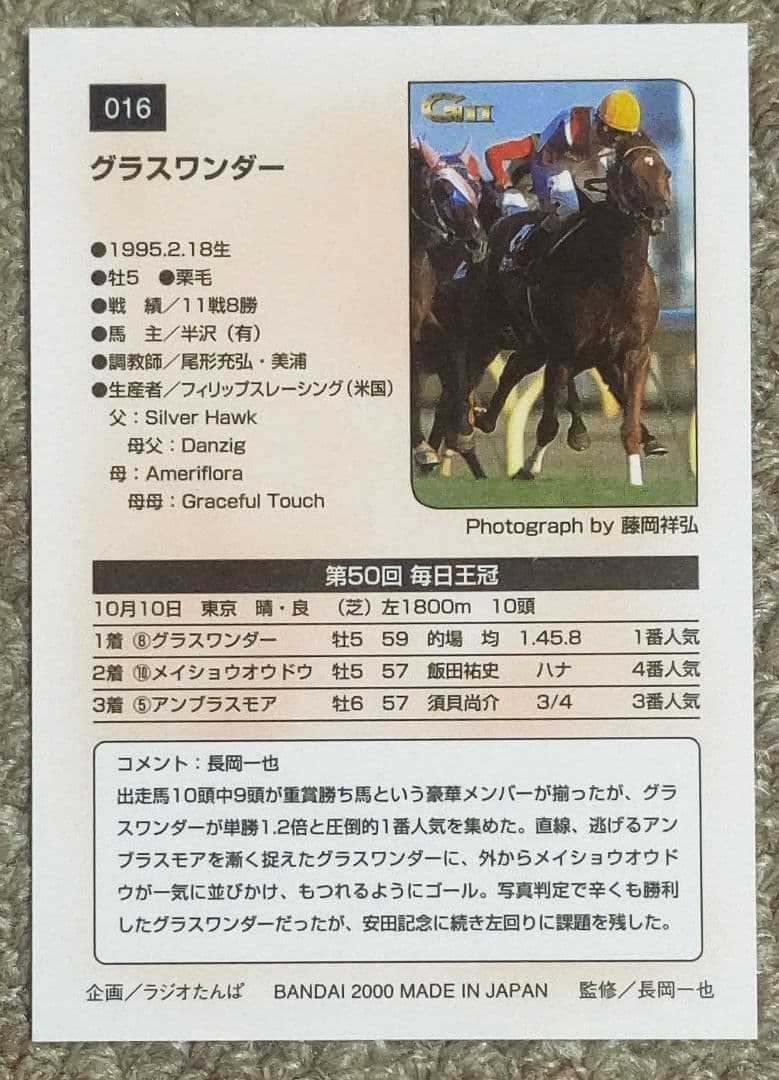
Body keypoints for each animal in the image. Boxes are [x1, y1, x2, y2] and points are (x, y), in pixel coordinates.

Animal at [440, 132, 672, 486]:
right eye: (631, 173)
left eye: (665, 171)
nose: (657, 209)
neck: (612, 276)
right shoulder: (563, 351)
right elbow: (548, 424)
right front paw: (528, 468)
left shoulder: (633, 350)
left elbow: (628, 415)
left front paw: (636, 476)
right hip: (488, 330)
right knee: (470, 372)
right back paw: (466, 429)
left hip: (533, 342)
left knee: (514, 367)